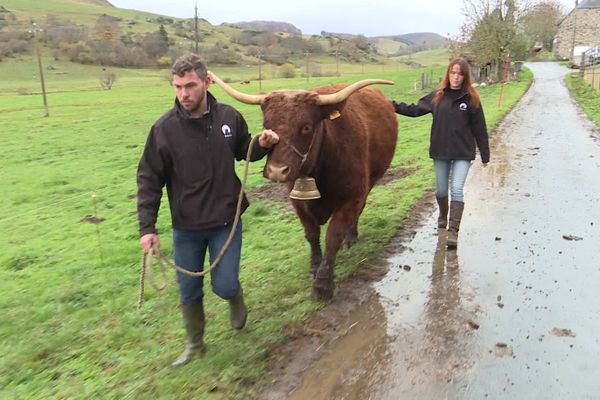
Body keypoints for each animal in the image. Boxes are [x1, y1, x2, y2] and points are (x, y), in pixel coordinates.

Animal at [209, 73, 396, 300]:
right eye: (266, 124)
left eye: (306, 126)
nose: (277, 171)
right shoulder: (297, 201)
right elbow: (312, 234)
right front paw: (315, 267)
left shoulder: (352, 196)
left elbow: (333, 236)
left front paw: (323, 285)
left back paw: (351, 238)